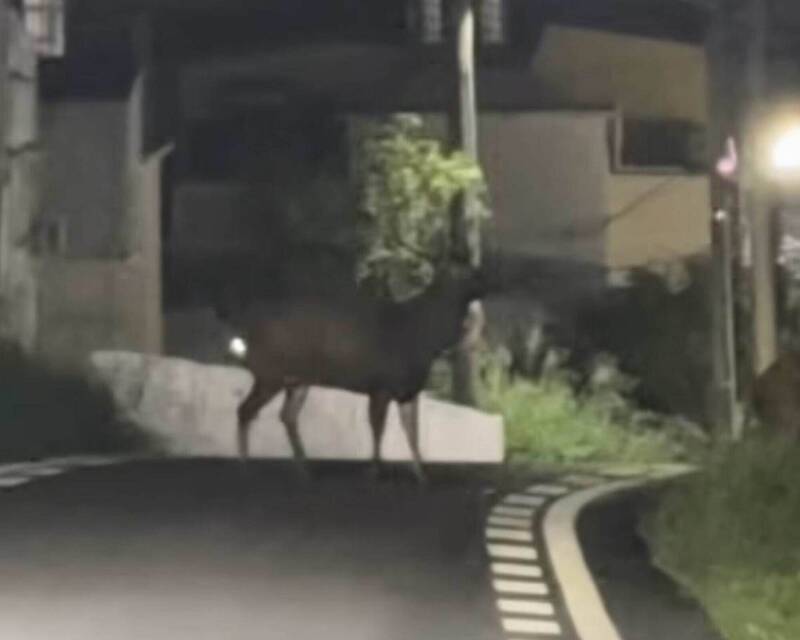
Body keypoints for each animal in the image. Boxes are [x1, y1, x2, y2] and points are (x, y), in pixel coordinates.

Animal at [224, 268, 487, 482]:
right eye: (465, 277)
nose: (483, 280)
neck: (426, 339)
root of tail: (248, 333)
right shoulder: (380, 387)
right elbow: (378, 428)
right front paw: (375, 470)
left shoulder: (408, 392)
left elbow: (413, 434)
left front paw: (422, 475)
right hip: (271, 373)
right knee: (246, 409)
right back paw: (245, 467)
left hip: (298, 379)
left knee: (286, 415)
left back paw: (304, 468)